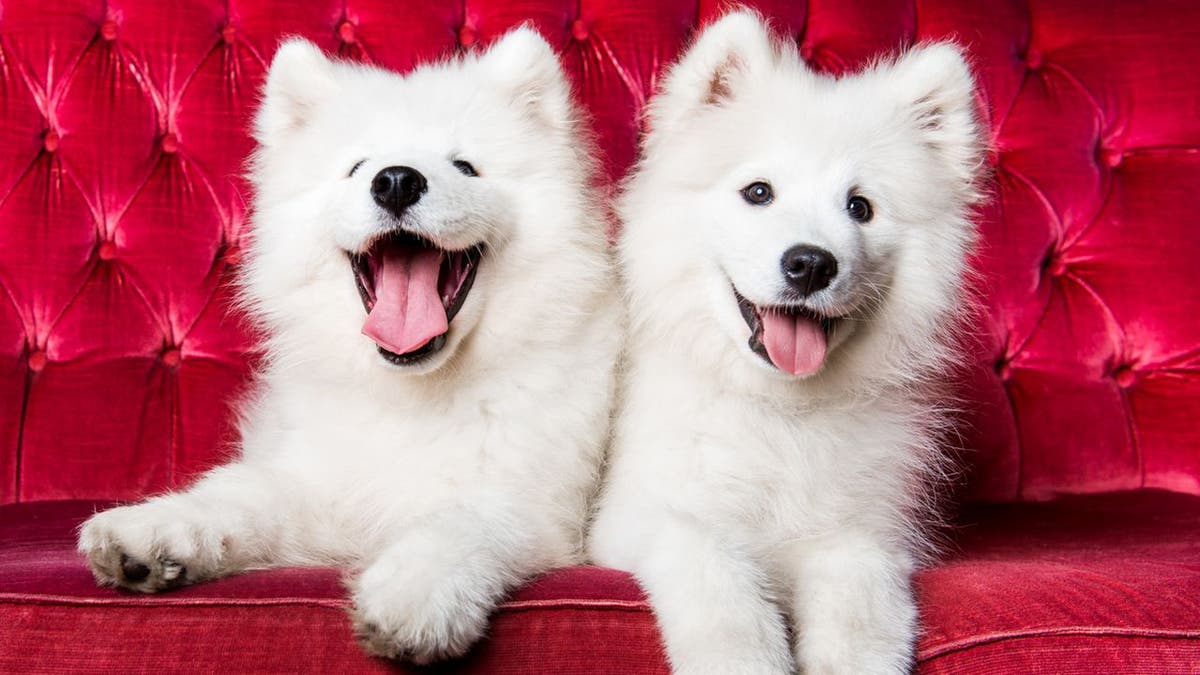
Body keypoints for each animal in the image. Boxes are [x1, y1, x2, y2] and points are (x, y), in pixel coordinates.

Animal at [77, 24, 619, 662]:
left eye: (465, 167)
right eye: (359, 167)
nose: (397, 180)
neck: (414, 394)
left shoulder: (534, 509)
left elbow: (460, 522)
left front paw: (412, 596)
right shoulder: (324, 487)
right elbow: (240, 495)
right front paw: (153, 529)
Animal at [588, 10, 984, 672]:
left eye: (860, 207)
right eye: (758, 192)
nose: (811, 264)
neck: (781, 411)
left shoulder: (863, 531)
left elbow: (859, 597)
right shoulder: (639, 516)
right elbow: (715, 574)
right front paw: (742, 656)